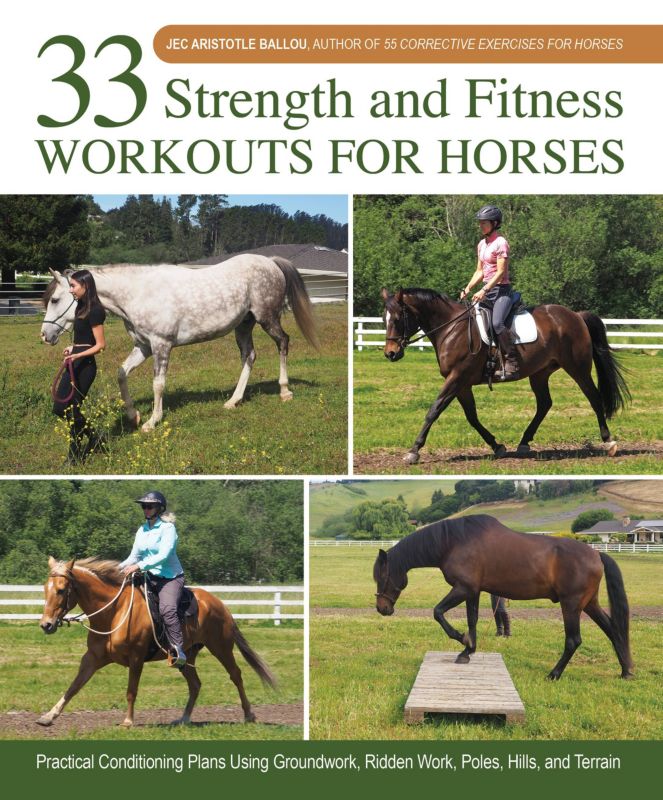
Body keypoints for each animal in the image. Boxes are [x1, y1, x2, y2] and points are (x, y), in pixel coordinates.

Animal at [37, 556, 276, 727]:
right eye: (45, 589)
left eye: (61, 590)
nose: (46, 625)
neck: (114, 611)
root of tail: (220, 604)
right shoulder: (92, 658)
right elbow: (74, 686)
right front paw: (49, 716)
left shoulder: (136, 658)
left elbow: (131, 691)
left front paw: (128, 721)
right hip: (186, 656)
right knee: (195, 684)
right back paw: (184, 719)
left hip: (221, 647)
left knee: (236, 675)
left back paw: (249, 715)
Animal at [41, 256, 319, 431]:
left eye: (55, 299)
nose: (45, 336)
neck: (139, 293)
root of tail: (271, 263)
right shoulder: (144, 347)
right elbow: (122, 374)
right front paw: (134, 416)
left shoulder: (161, 346)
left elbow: (158, 384)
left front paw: (152, 422)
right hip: (243, 325)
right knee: (249, 356)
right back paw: (233, 400)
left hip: (267, 318)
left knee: (283, 343)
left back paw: (285, 391)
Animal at [373, 514, 633, 680]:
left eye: (382, 576)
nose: (381, 608)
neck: (453, 542)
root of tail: (596, 554)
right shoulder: (473, 591)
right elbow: (472, 620)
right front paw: (467, 651)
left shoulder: (463, 588)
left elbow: (438, 612)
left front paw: (461, 639)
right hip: (589, 603)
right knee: (613, 630)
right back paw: (626, 671)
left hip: (571, 605)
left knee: (573, 640)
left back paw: (554, 674)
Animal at [381, 288, 630, 464]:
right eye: (384, 319)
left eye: (397, 319)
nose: (390, 354)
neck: (451, 329)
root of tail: (576, 316)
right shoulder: (462, 384)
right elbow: (472, 417)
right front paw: (497, 446)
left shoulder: (456, 378)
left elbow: (434, 410)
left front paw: (414, 451)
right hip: (540, 373)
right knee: (544, 404)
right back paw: (524, 442)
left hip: (577, 368)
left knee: (594, 397)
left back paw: (609, 442)